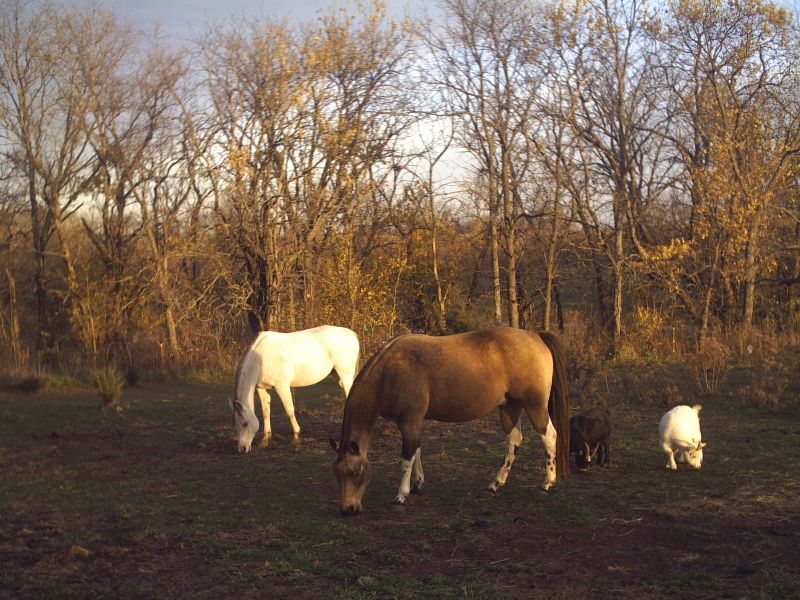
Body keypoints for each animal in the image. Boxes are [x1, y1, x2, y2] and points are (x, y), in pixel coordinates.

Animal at [230, 325, 360, 453]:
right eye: (236, 425)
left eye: (245, 423)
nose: (242, 449)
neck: (261, 357)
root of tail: (352, 334)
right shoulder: (261, 388)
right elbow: (266, 412)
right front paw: (265, 439)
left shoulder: (282, 386)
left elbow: (289, 411)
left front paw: (296, 437)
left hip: (345, 375)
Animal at [330, 326, 570, 515]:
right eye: (337, 474)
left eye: (356, 472)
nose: (348, 509)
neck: (391, 371)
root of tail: (535, 335)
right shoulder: (413, 422)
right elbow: (416, 451)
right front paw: (417, 484)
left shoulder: (409, 420)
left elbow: (406, 458)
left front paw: (401, 495)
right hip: (509, 407)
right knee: (514, 441)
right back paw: (495, 484)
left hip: (534, 405)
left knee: (549, 435)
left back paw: (547, 482)